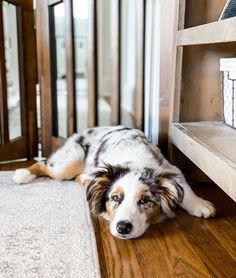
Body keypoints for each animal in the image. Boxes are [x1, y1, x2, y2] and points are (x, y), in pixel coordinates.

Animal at [12, 126, 216, 239]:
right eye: (115, 198)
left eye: (144, 201)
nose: (123, 227)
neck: (134, 161)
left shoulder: (170, 168)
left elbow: (184, 189)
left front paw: (200, 204)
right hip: (71, 161)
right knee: (44, 164)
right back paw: (22, 174)